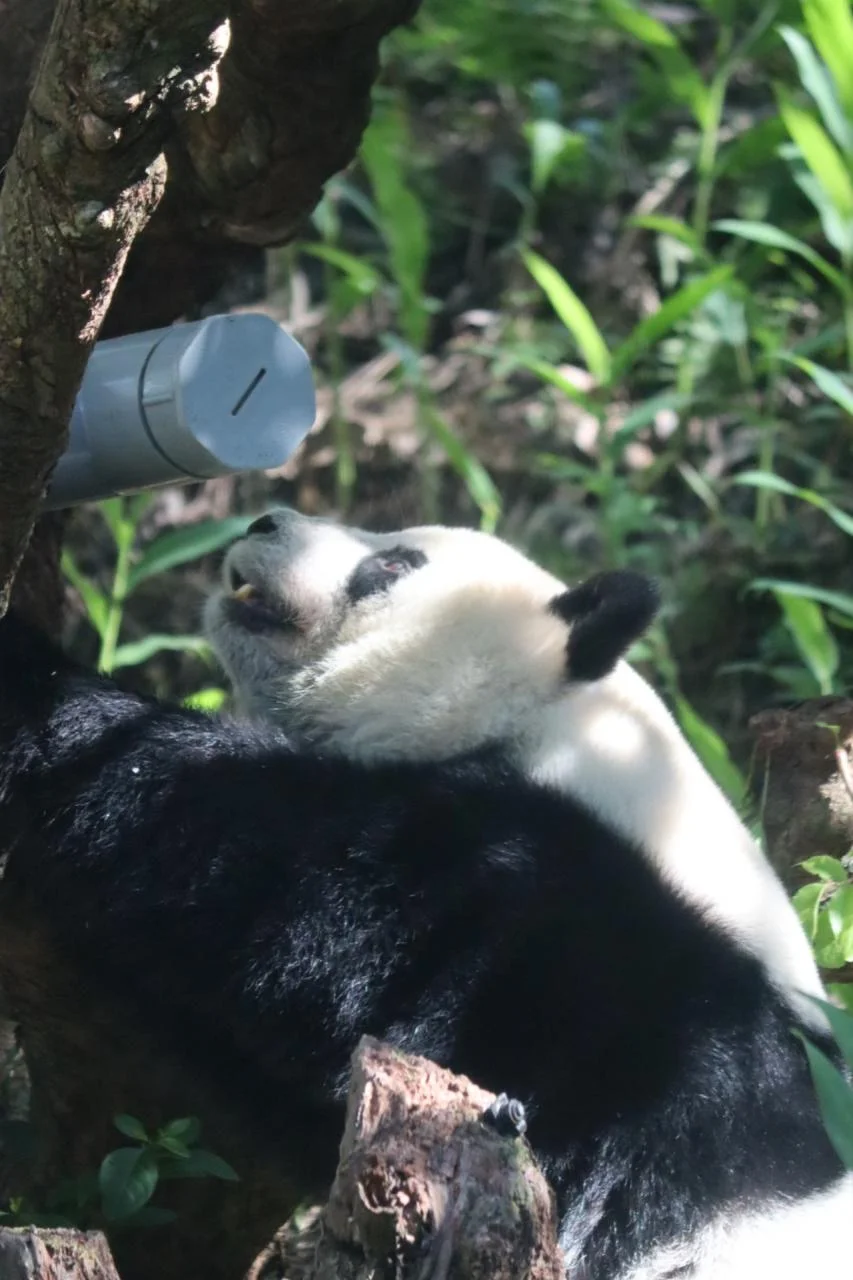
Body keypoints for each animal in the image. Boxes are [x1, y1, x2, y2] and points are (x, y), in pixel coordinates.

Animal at [0, 507, 850, 1280]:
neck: (579, 738)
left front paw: (31, 679)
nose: (262, 519)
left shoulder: (574, 949)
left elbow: (279, 881)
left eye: (393, 565)